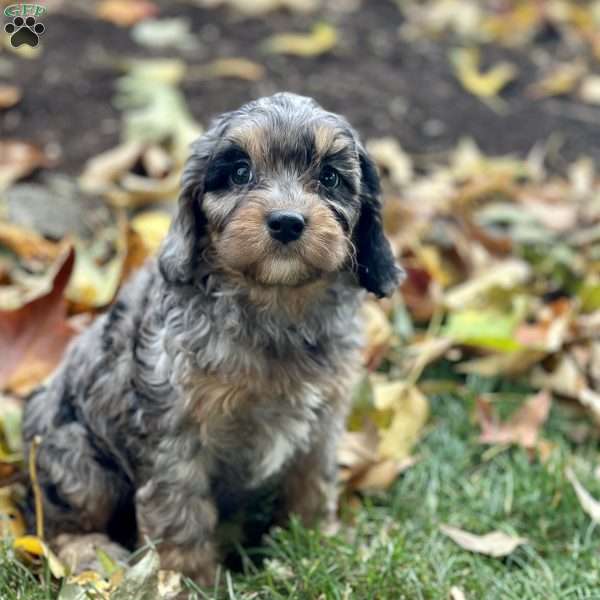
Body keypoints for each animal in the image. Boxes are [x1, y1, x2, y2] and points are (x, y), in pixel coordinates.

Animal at [22, 91, 404, 584]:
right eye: (240, 172)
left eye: (330, 177)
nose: (286, 222)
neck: (275, 306)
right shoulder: (175, 434)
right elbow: (180, 513)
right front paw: (181, 582)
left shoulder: (323, 423)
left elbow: (312, 486)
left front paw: (316, 548)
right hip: (76, 459)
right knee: (56, 524)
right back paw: (93, 557)